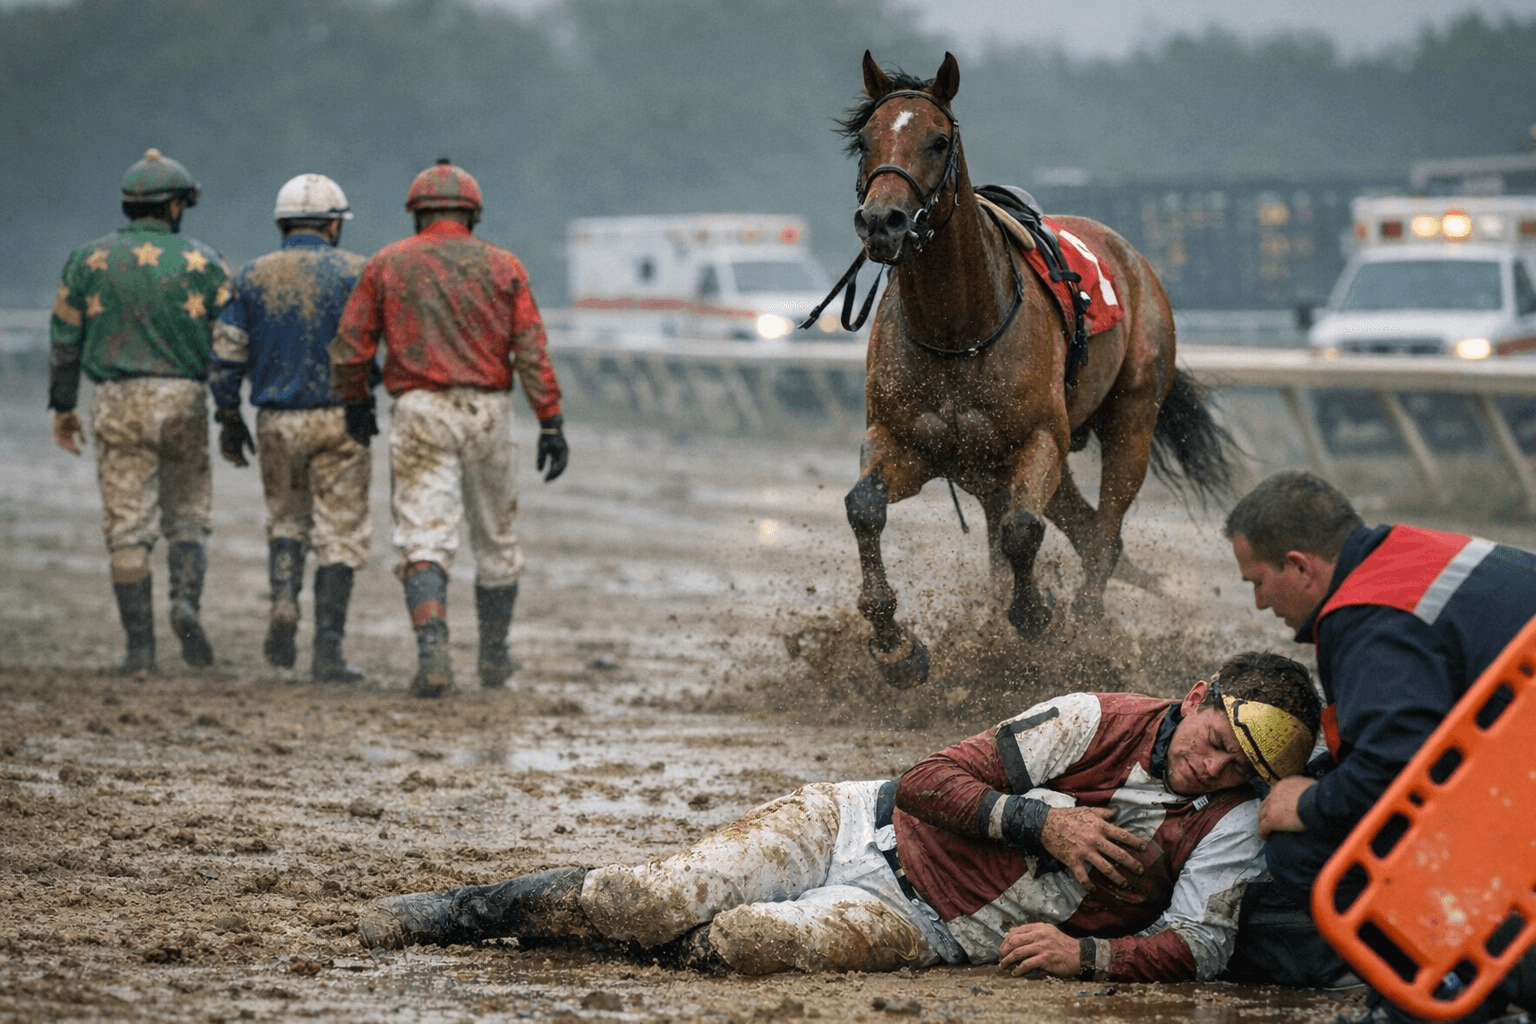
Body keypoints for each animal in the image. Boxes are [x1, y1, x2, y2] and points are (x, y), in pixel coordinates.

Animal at [834, 51, 1234, 689]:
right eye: (865, 140)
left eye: (939, 140)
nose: (882, 222)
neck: (959, 330)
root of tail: (1136, 260)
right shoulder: (906, 442)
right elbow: (864, 507)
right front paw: (896, 648)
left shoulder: (1039, 439)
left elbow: (1023, 531)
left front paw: (1036, 612)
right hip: (993, 470)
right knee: (1083, 527)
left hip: (1131, 419)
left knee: (1102, 533)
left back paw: (1089, 631)